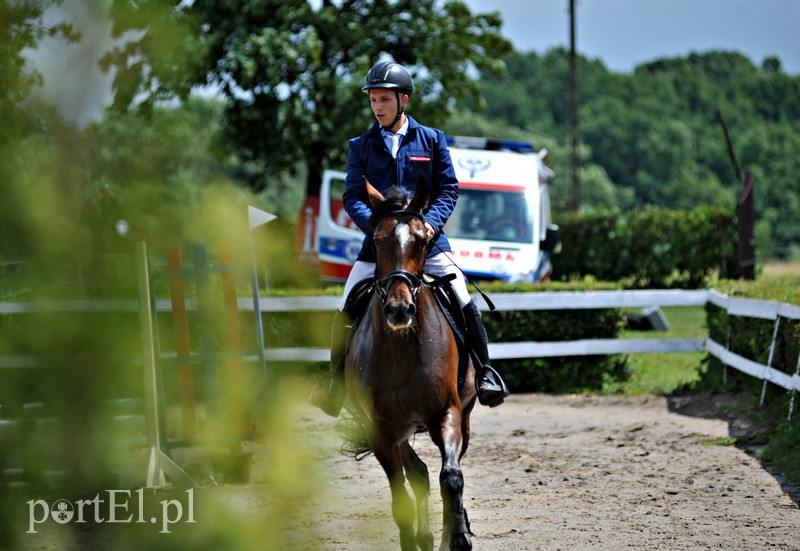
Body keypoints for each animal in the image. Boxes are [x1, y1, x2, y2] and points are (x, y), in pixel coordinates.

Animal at [344, 178, 476, 551]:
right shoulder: (381, 430)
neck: (400, 349)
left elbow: (452, 477)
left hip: (463, 418)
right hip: (401, 431)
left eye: (422, 241)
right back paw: (424, 537)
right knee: (417, 474)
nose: (399, 310)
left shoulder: (446, 413)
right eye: (377, 240)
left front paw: (458, 537)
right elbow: (400, 495)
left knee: (442, 471)